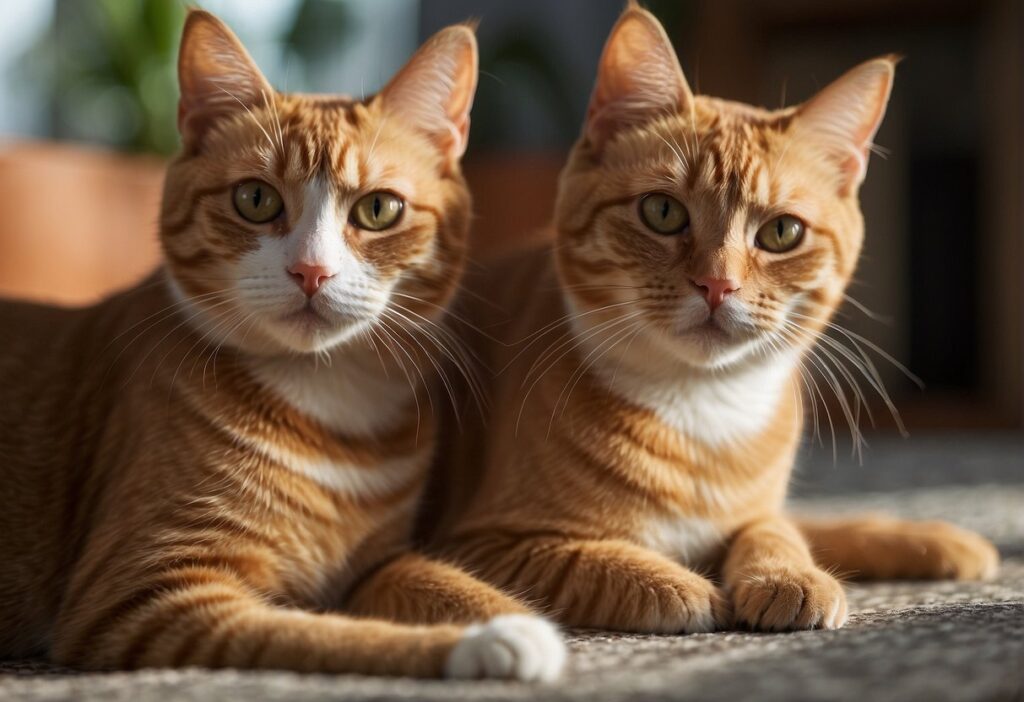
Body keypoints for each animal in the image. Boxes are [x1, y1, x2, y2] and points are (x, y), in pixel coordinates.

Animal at [428, 2, 995, 634]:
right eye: (662, 211)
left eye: (782, 231)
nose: (717, 284)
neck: (703, 414)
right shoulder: (484, 541)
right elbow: (593, 562)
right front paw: (682, 585)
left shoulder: (759, 511)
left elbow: (776, 530)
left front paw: (788, 573)